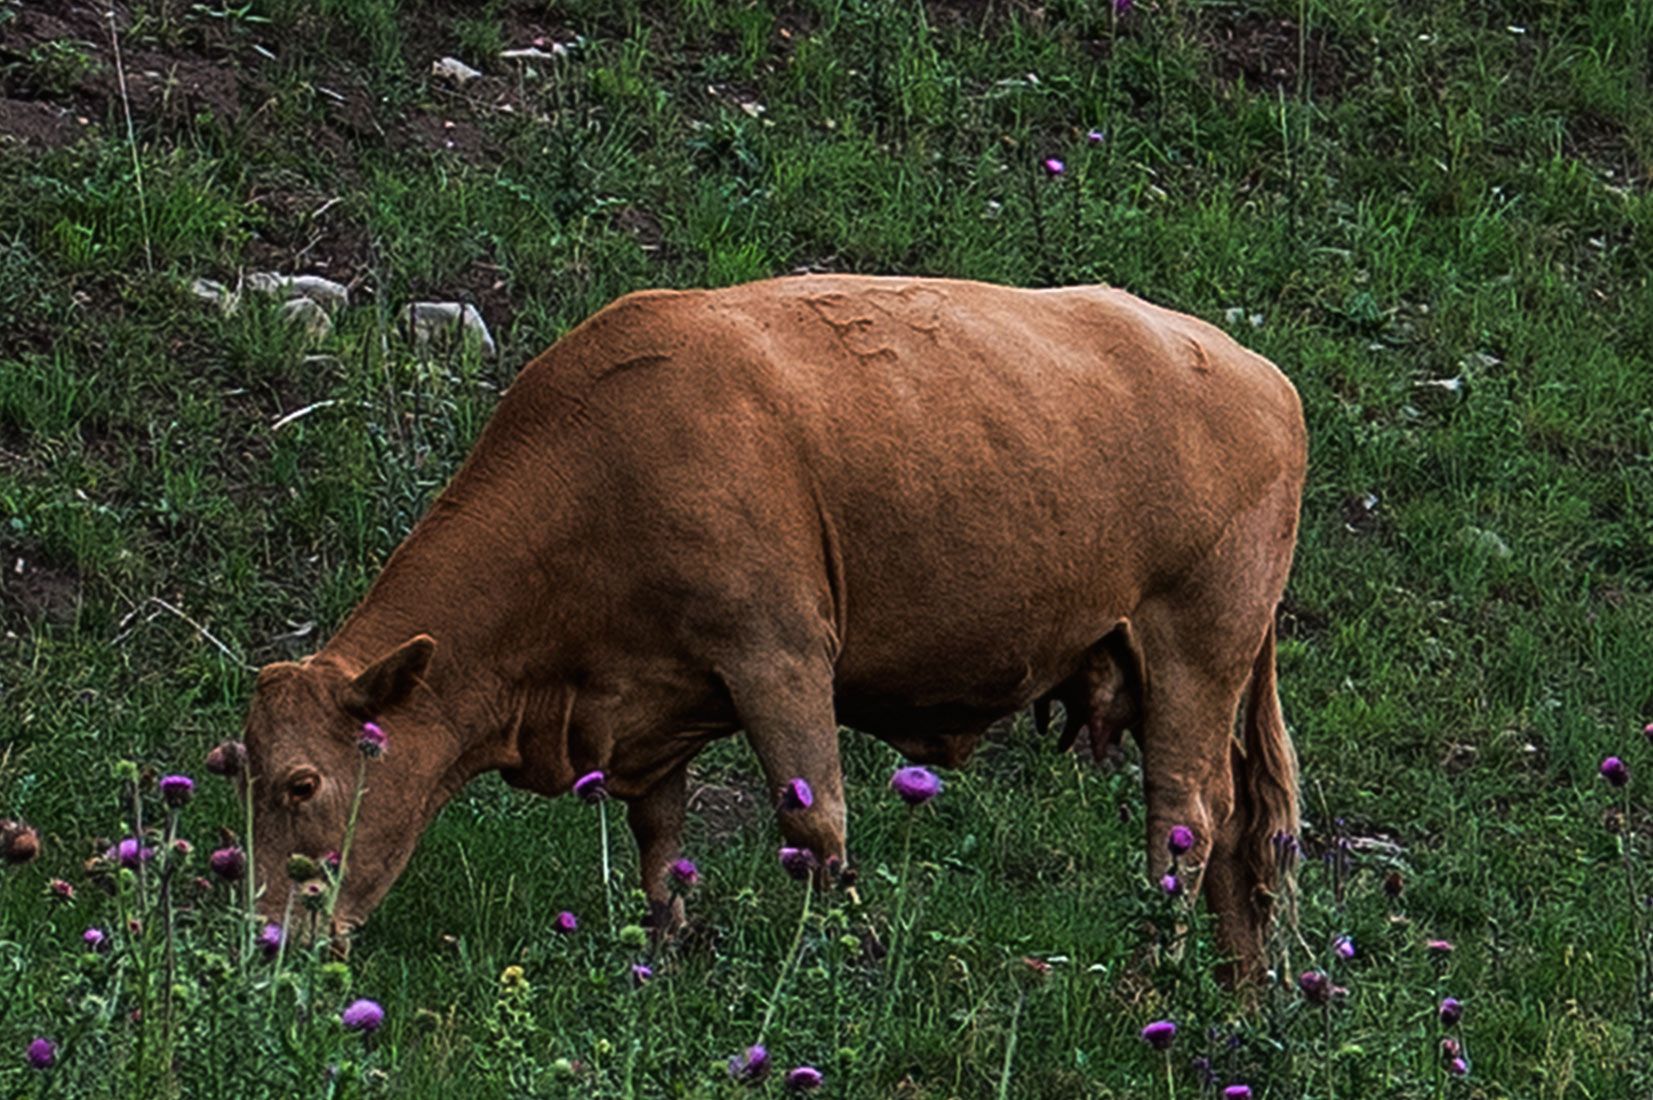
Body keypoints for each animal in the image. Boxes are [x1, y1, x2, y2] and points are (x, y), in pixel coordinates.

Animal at [240, 275, 1305, 979]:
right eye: (233, 770)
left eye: (302, 782)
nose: (265, 939)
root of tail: (1259, 372)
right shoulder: (645, 703)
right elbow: (659, 839)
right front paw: (664, 959)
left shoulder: (779, 655)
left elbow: (814, 822)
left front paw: (833, 962)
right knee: (1238, 834)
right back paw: (1237, 998)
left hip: (1194, 648)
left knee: (1186, 821)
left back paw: (1154, 983)